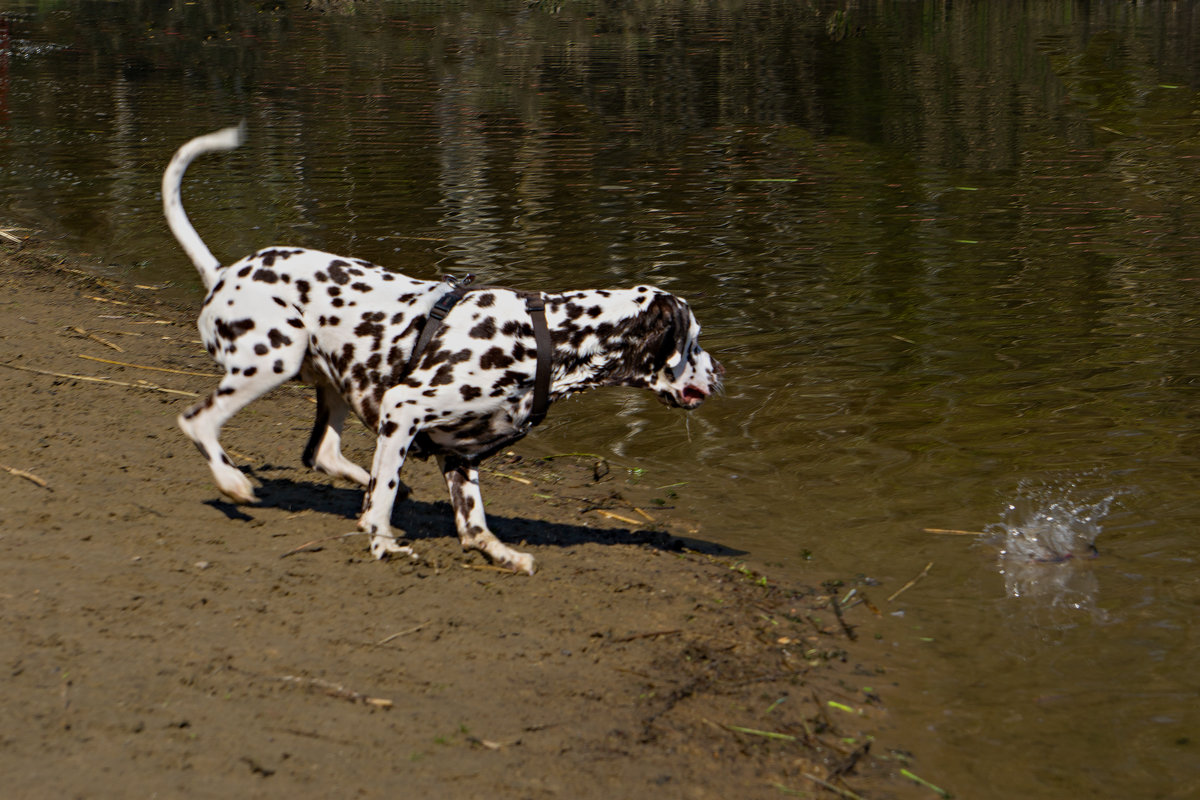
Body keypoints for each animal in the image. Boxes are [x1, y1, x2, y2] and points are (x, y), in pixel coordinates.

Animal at [160, 125, 720, 573]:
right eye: (694, 341)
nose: (719, 372)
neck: (543, 336)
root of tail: (223, 273)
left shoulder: (459, 454)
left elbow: (473, 526)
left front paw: (498, 552)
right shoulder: (404, 408)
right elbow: (384, 501)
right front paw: (383, 541)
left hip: (332, 383)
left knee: (323, 453)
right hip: (274, 360)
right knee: (199, 422)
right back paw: (233, 482)